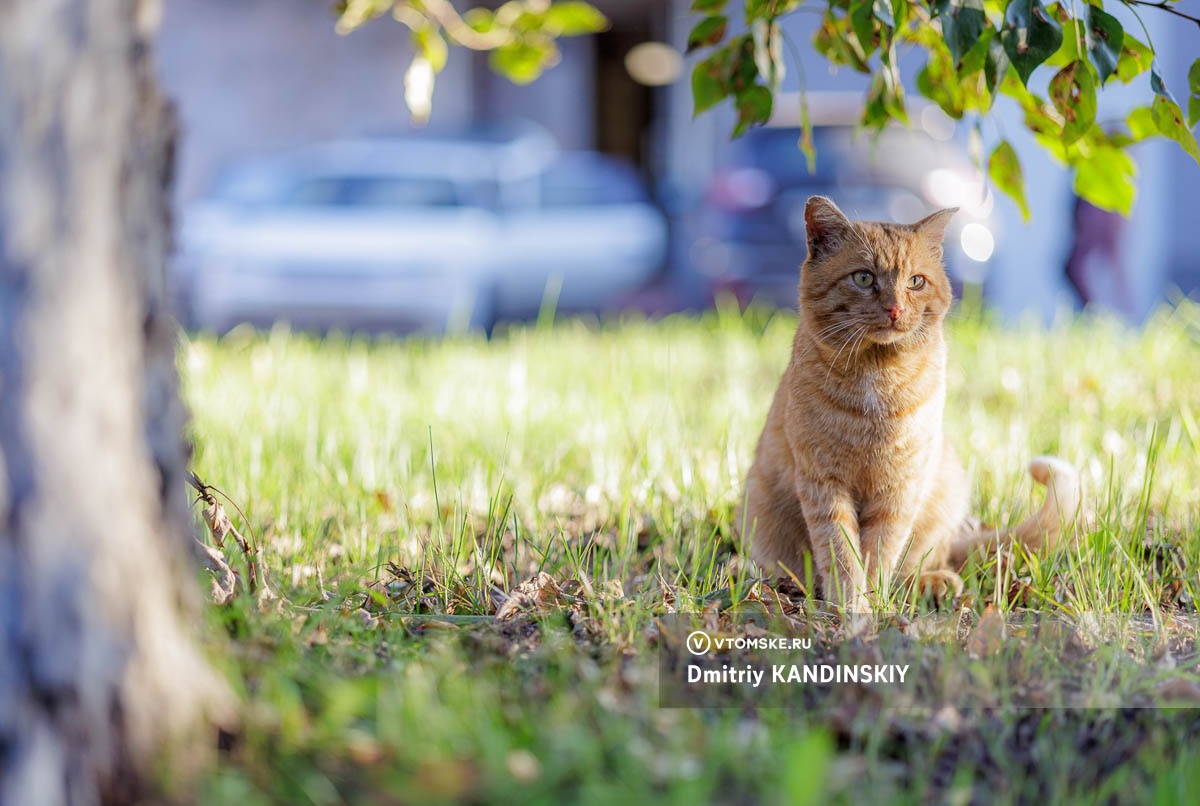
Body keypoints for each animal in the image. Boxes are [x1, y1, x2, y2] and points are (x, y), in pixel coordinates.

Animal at [734, 196, 1084, 611]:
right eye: (864, 278)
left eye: (915, 281)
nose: (895, 309)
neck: (877, 376)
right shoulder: (823, 482)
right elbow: (840, 550)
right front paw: (851, 604)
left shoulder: (900, 487)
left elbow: (880, 552)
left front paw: (870, 602)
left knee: (919, 564)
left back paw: (935, 583)